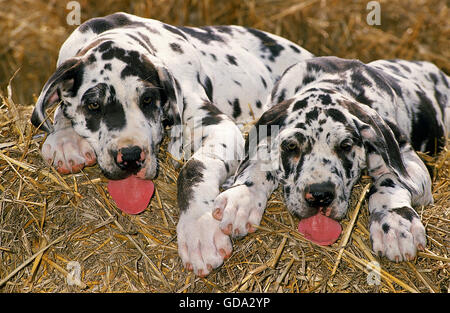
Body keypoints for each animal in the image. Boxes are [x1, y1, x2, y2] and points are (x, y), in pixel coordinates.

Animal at [31, 12, 312, 276]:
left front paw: (199, 228)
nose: (130, 156)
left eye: (147, 99)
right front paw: (65, 139)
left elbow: (193, 168)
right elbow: (59, 114)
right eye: (93, 105)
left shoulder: (221, 127)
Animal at [216, 56, 448, 264]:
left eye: (345, 145)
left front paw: (394, 219)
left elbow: (389, 179)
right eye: (291, 146)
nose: (320, 196)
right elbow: (257, 163)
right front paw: (241, 198)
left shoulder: (411, 162)